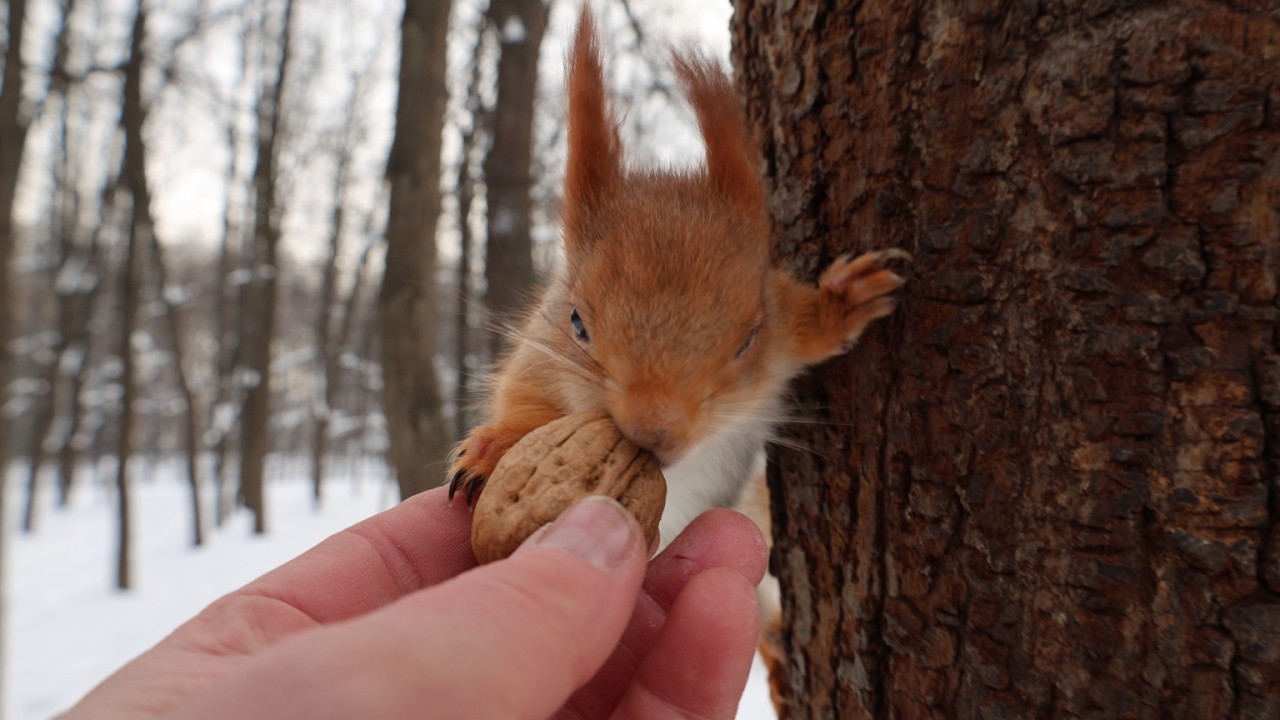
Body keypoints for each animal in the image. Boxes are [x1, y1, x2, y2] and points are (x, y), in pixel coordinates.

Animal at [448, 7, 908, 548]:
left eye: (749, 340)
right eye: (577, 323)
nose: (655, 433)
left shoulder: (782, 338)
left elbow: (810, 327)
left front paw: (848, 298)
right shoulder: (541, 350)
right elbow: (522, 395)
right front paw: (495, 447)